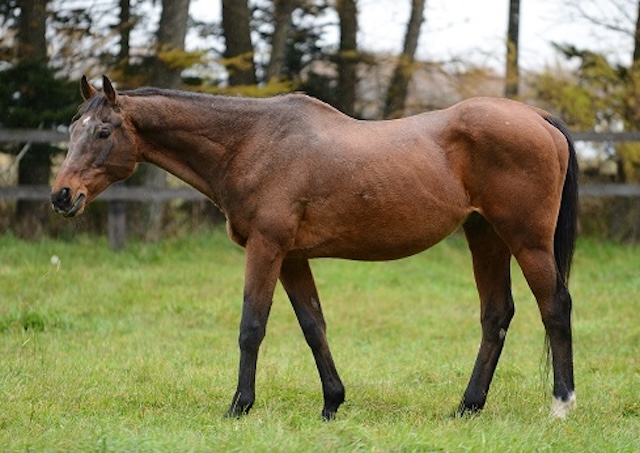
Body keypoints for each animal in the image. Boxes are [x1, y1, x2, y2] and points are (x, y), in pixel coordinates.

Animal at [51, 75, 578, 420]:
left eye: (103, 131)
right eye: (73, 130)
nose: (62, 196)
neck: (251, 142)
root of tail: (538, 118)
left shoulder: (265, 248)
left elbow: (252, 327)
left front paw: (239, 407)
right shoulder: (293, 258)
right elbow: (313, 326)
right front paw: (332, 402)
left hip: (527, 240)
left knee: (554, 307)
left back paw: (561, 405)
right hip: (484, 235)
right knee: (496, 315)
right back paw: (468, 407)